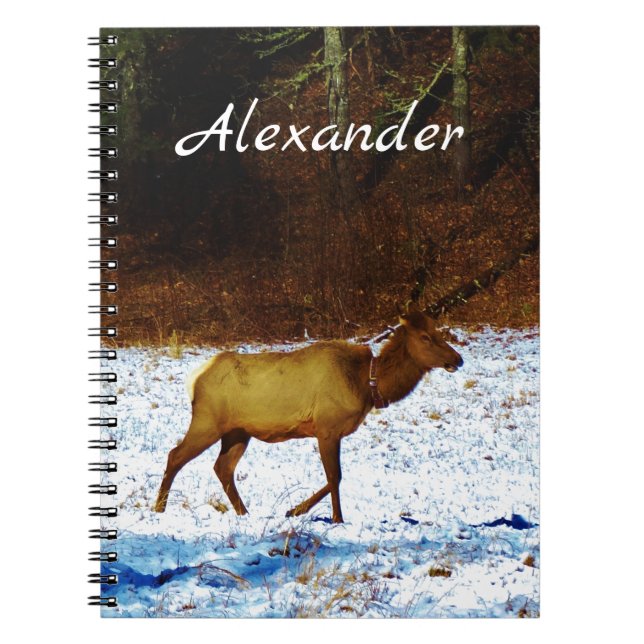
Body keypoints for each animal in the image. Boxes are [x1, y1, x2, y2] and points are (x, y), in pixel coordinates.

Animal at [154, 307, 464, 523]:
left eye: (438, 333)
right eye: (426, 337)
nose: (458, 359)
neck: (367, 385)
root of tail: (194, 378)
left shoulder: (329, 432)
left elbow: (333, 478)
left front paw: (295, 510)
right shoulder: (327, 428)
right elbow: (335, 476)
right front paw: (333, 518)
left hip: (238, 432)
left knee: (223, 467)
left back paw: (244, 513)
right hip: (207, 421)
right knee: (175, 455)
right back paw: (159, 508)